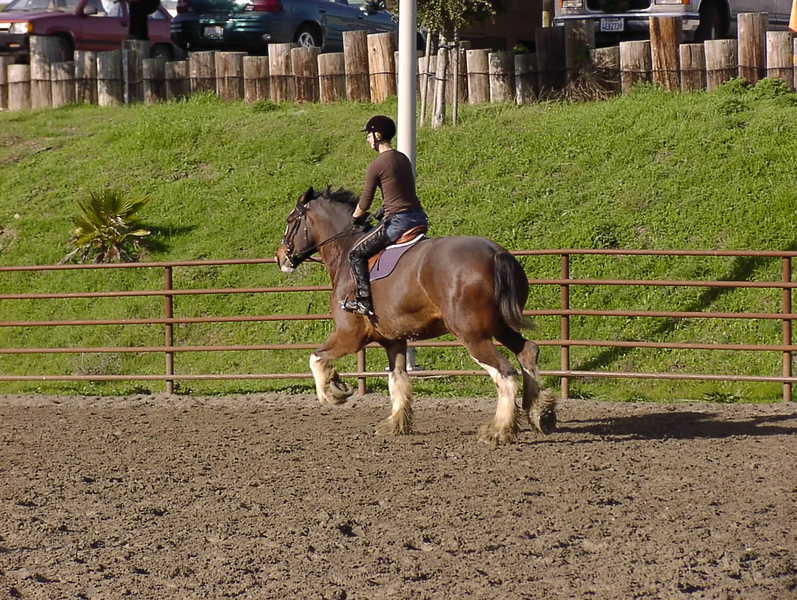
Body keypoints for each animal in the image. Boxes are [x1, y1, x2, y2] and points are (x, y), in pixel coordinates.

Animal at [275, 187, 557, 444]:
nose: (280, 257)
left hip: (473, 335)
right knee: (528, 352)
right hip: (499, 327)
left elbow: (316, 358)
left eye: (290, 220)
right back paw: (541, 414)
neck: (347, 253)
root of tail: (496, 253)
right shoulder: (393, 341)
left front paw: (333, 392)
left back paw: (499, 430)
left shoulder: (349, 335)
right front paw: (396, 423)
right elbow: (397, 380)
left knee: (505, 373)